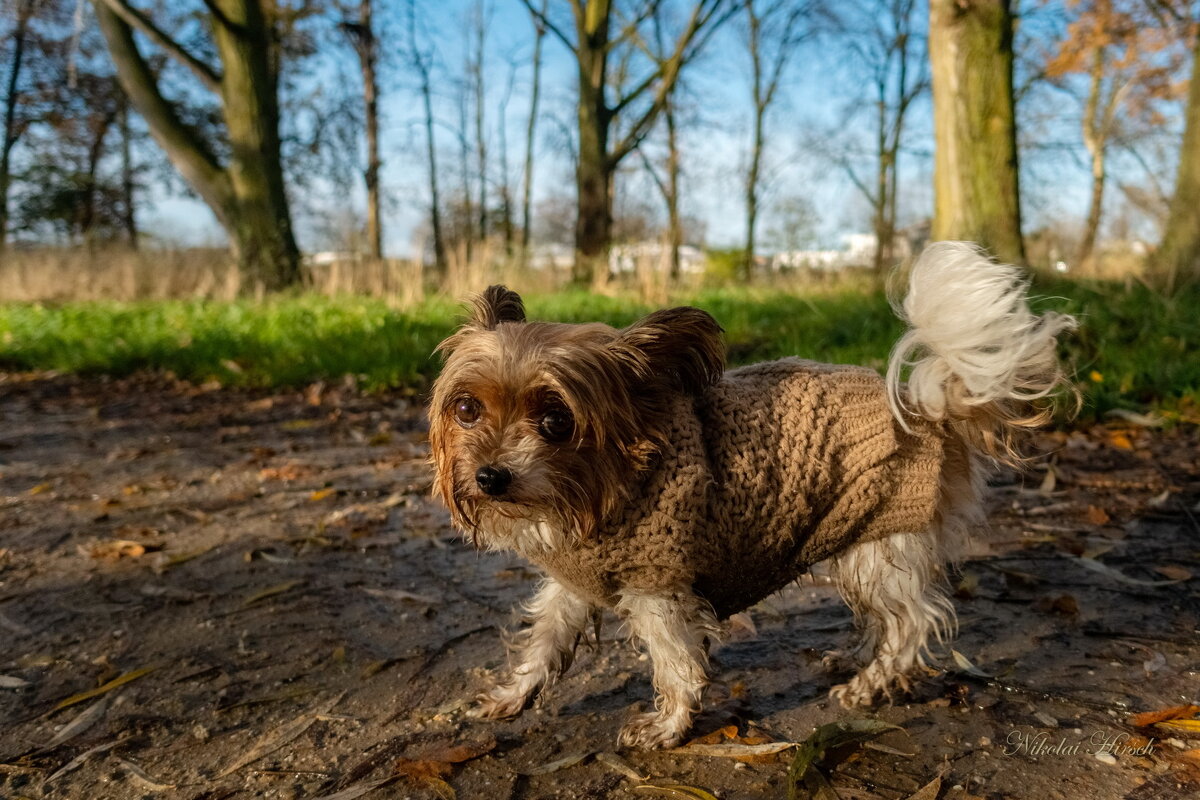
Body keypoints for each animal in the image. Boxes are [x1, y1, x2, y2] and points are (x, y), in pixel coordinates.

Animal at [429, 242, 1080, 753]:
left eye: (555, 421)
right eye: (467, 409)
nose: (489, 476)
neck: (603, 490)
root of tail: (925, 407)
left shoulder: (658, 589)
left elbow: (677, 663)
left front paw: (668, 728)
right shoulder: (571, 586)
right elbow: (543, 642)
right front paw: (514, 696)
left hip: (878, 547)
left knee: (914, 623)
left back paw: (870, 685)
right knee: (892, 619)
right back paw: (856, 661)